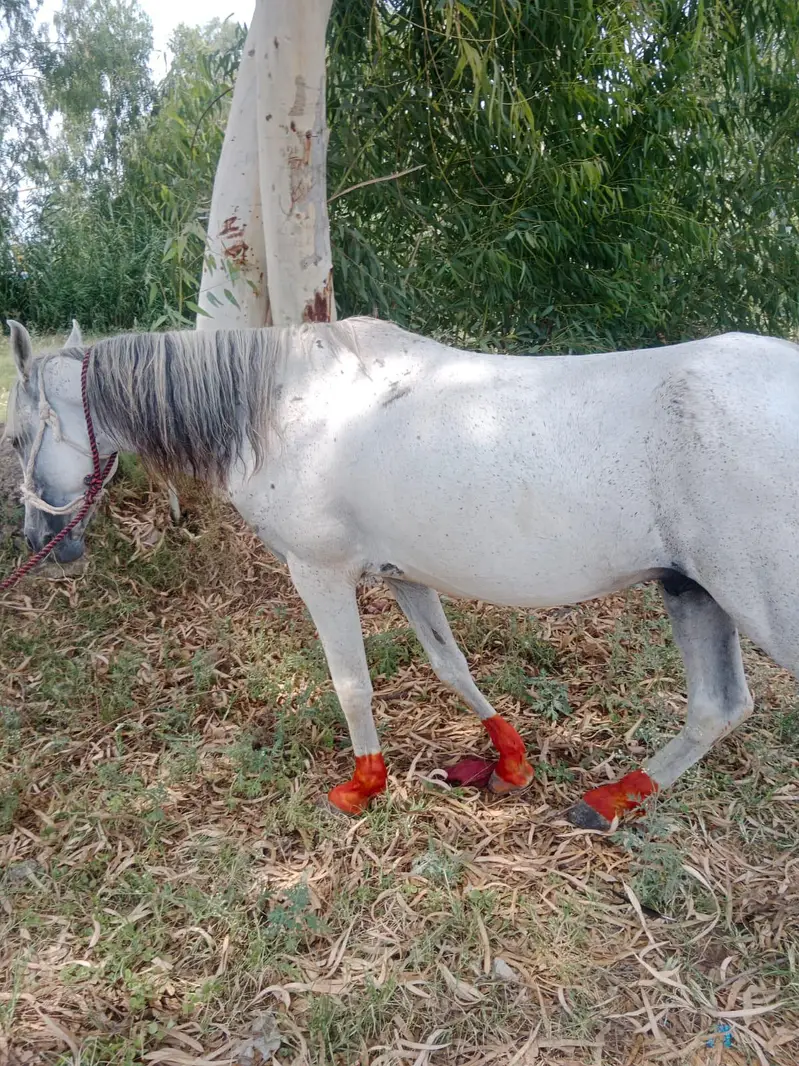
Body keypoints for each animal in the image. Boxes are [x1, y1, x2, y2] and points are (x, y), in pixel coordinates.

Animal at [6, 315, 799, 828]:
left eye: (15, 436)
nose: (40, 541)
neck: (287, 407)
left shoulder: (319, 574)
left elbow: (351, 685)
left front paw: (362, 787)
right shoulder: (403, 575)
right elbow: (451, 666)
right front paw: (508, 762)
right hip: (692, 591)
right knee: (717, 708)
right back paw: (608, 802)